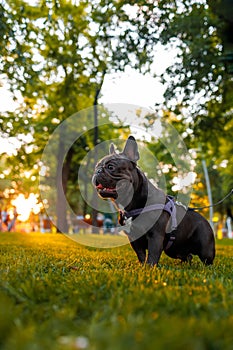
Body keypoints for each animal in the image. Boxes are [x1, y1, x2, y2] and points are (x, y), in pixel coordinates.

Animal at [92, 136, 216, 266]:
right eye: (96, 167)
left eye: (111, 167)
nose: (97, 171)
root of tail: (206, 220)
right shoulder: (134, 238)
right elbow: (141, 254)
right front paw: (142, 266)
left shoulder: (155, 236)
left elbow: (152, 254)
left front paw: (150, 268)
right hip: (173, 250)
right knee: (187, 256)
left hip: (205, 249)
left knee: (206, 259)